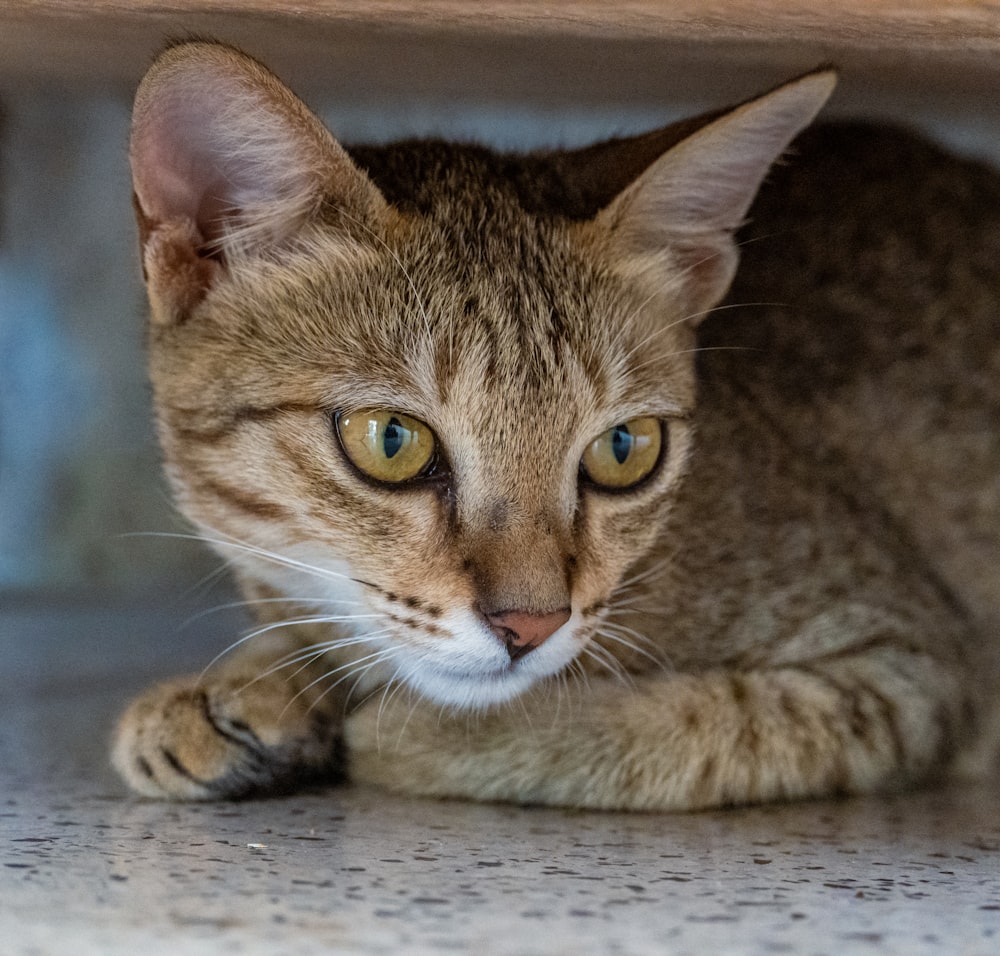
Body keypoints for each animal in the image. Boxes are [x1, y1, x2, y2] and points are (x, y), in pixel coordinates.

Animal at [111, 41, 1000, 812]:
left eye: (624, 450)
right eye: (391, 439)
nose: (530, 627)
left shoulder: (914, 665)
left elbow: (697, 726)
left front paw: (419, 733)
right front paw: (261, 684)